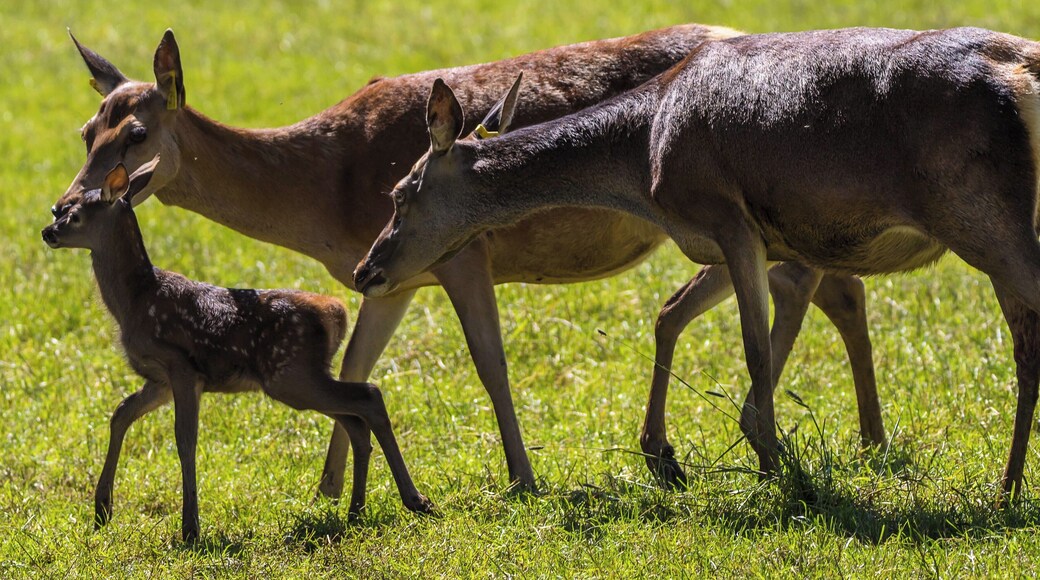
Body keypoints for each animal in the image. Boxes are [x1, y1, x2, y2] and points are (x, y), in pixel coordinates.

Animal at [42, 158, 432, 542]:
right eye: (65, 211)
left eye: (74, 214)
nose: (48, 231)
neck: (135, 301)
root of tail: (335, 312)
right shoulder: (159, 379)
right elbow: (121, 413)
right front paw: (102, 510)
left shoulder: (182, 367)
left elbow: (184, 439)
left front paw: (190, 528)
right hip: (301, 377)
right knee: (356, 420)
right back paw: (357, 510)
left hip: (290, 373)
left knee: (369, 397)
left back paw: (415, 501)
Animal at [53, 25, 884, 496]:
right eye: (86, 128)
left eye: (136, 133)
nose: (66, 206)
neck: (325, 187)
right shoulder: (387, 276)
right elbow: (356, 365)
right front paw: (329, 491)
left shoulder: (459, 250)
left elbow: (490, 363)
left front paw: (523, 478)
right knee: (829, 285)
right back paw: (865, 439)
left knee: (823, 284)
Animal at [353, 26, 1040, 503]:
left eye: (400, 193)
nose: (366, 271)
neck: (644, 159)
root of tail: (1024, 72)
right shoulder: (739, 239)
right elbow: (671, 312)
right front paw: (665, 454)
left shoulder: (726, 217)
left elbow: (753, 348)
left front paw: (775, 468)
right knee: (1023, 344)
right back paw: (1007, 487)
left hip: (979, 214)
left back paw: (1005, 489)